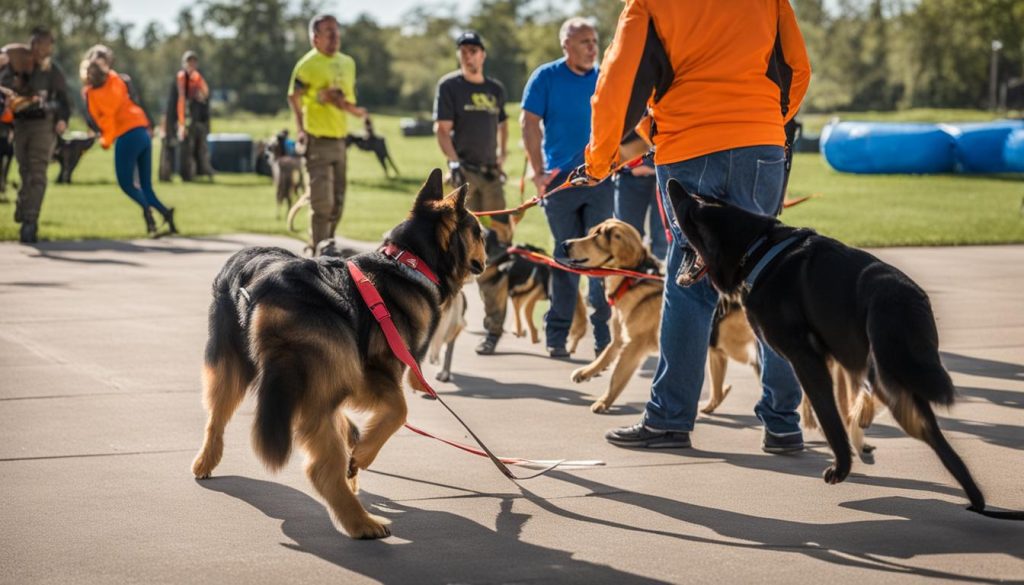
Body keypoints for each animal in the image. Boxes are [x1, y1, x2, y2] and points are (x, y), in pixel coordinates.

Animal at [195, 170, 491, 540]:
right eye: (478, 232)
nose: (489, 255)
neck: (408, 260)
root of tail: (267, 286)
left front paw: (355, 445)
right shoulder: (377, 369)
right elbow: (399, 410)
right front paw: (362, 455)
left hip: (235, 366)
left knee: (216, 416)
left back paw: (206, 460)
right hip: (334, 369)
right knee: (321, 467)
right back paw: (360, 522)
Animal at [667, 181, 1024, 520]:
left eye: (689, 209)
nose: (672, 183)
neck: (757, 247)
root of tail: (903, 297)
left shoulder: (807, 359)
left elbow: (830, 416)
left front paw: (842, 465)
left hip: (882, 375)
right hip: (896, 382)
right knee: (934, 435)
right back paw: (976, 500)